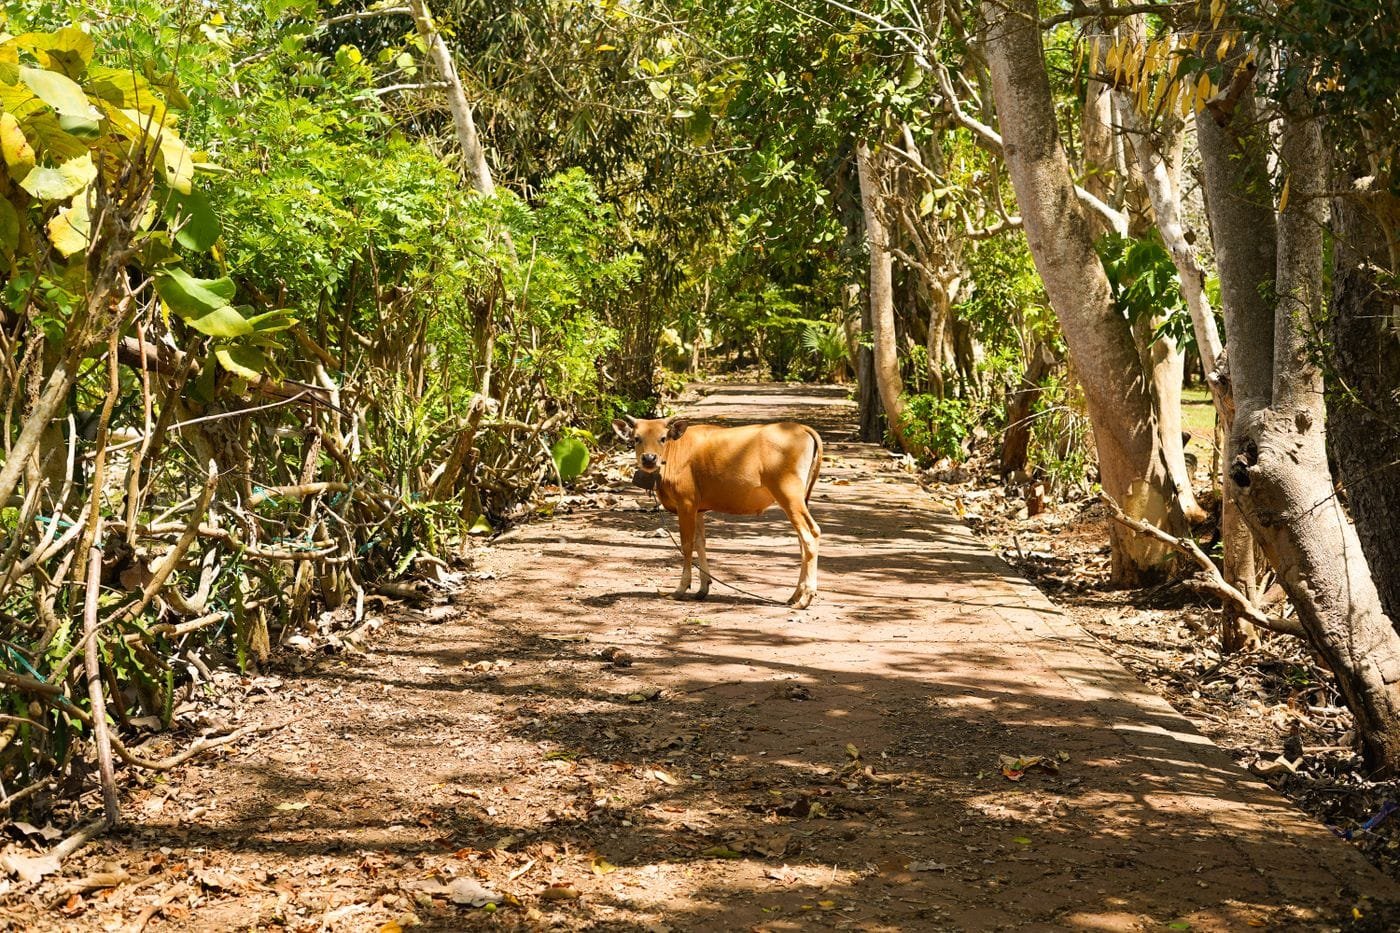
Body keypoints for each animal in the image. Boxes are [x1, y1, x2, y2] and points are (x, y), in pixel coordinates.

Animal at [612, 415, 823, 608]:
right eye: (637, 438)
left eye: (663, 438)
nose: (649, 458)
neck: (674, 453)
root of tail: (802, 428)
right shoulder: (698, 509)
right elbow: (700, 543)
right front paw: (703, 587)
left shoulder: (685, 504)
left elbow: (687, 545)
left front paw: (681, 588)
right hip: (799, 497)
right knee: (802, 540)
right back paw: (795, 595)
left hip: (788, 494)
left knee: (810, 534)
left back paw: (806, 597)